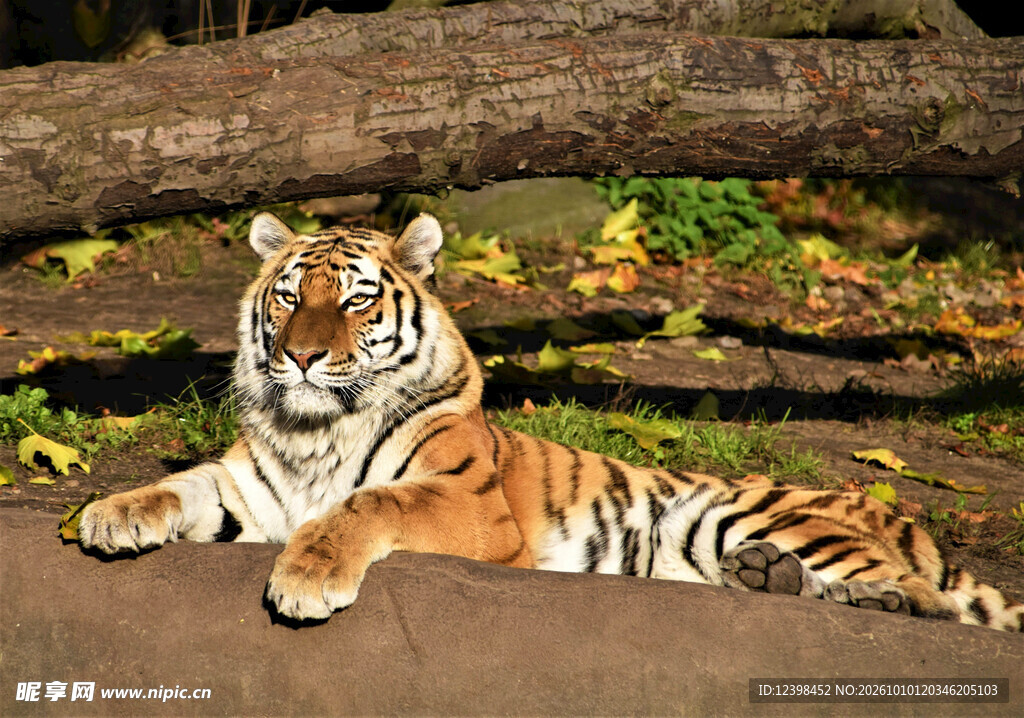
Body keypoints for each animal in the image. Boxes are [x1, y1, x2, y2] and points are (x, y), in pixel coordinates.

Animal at [78, 211, 1023, 632]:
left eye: (352, 301)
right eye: (287, 298)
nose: (303, 357)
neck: (318, 429)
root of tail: (894, 509)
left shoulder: (469, 502)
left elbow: (368, 503)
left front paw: (306, 578)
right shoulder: (249, 490)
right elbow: (176, 484)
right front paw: (109, 515)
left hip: (744, 509)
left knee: (933, 599)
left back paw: (875, 597)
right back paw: (768, 581)